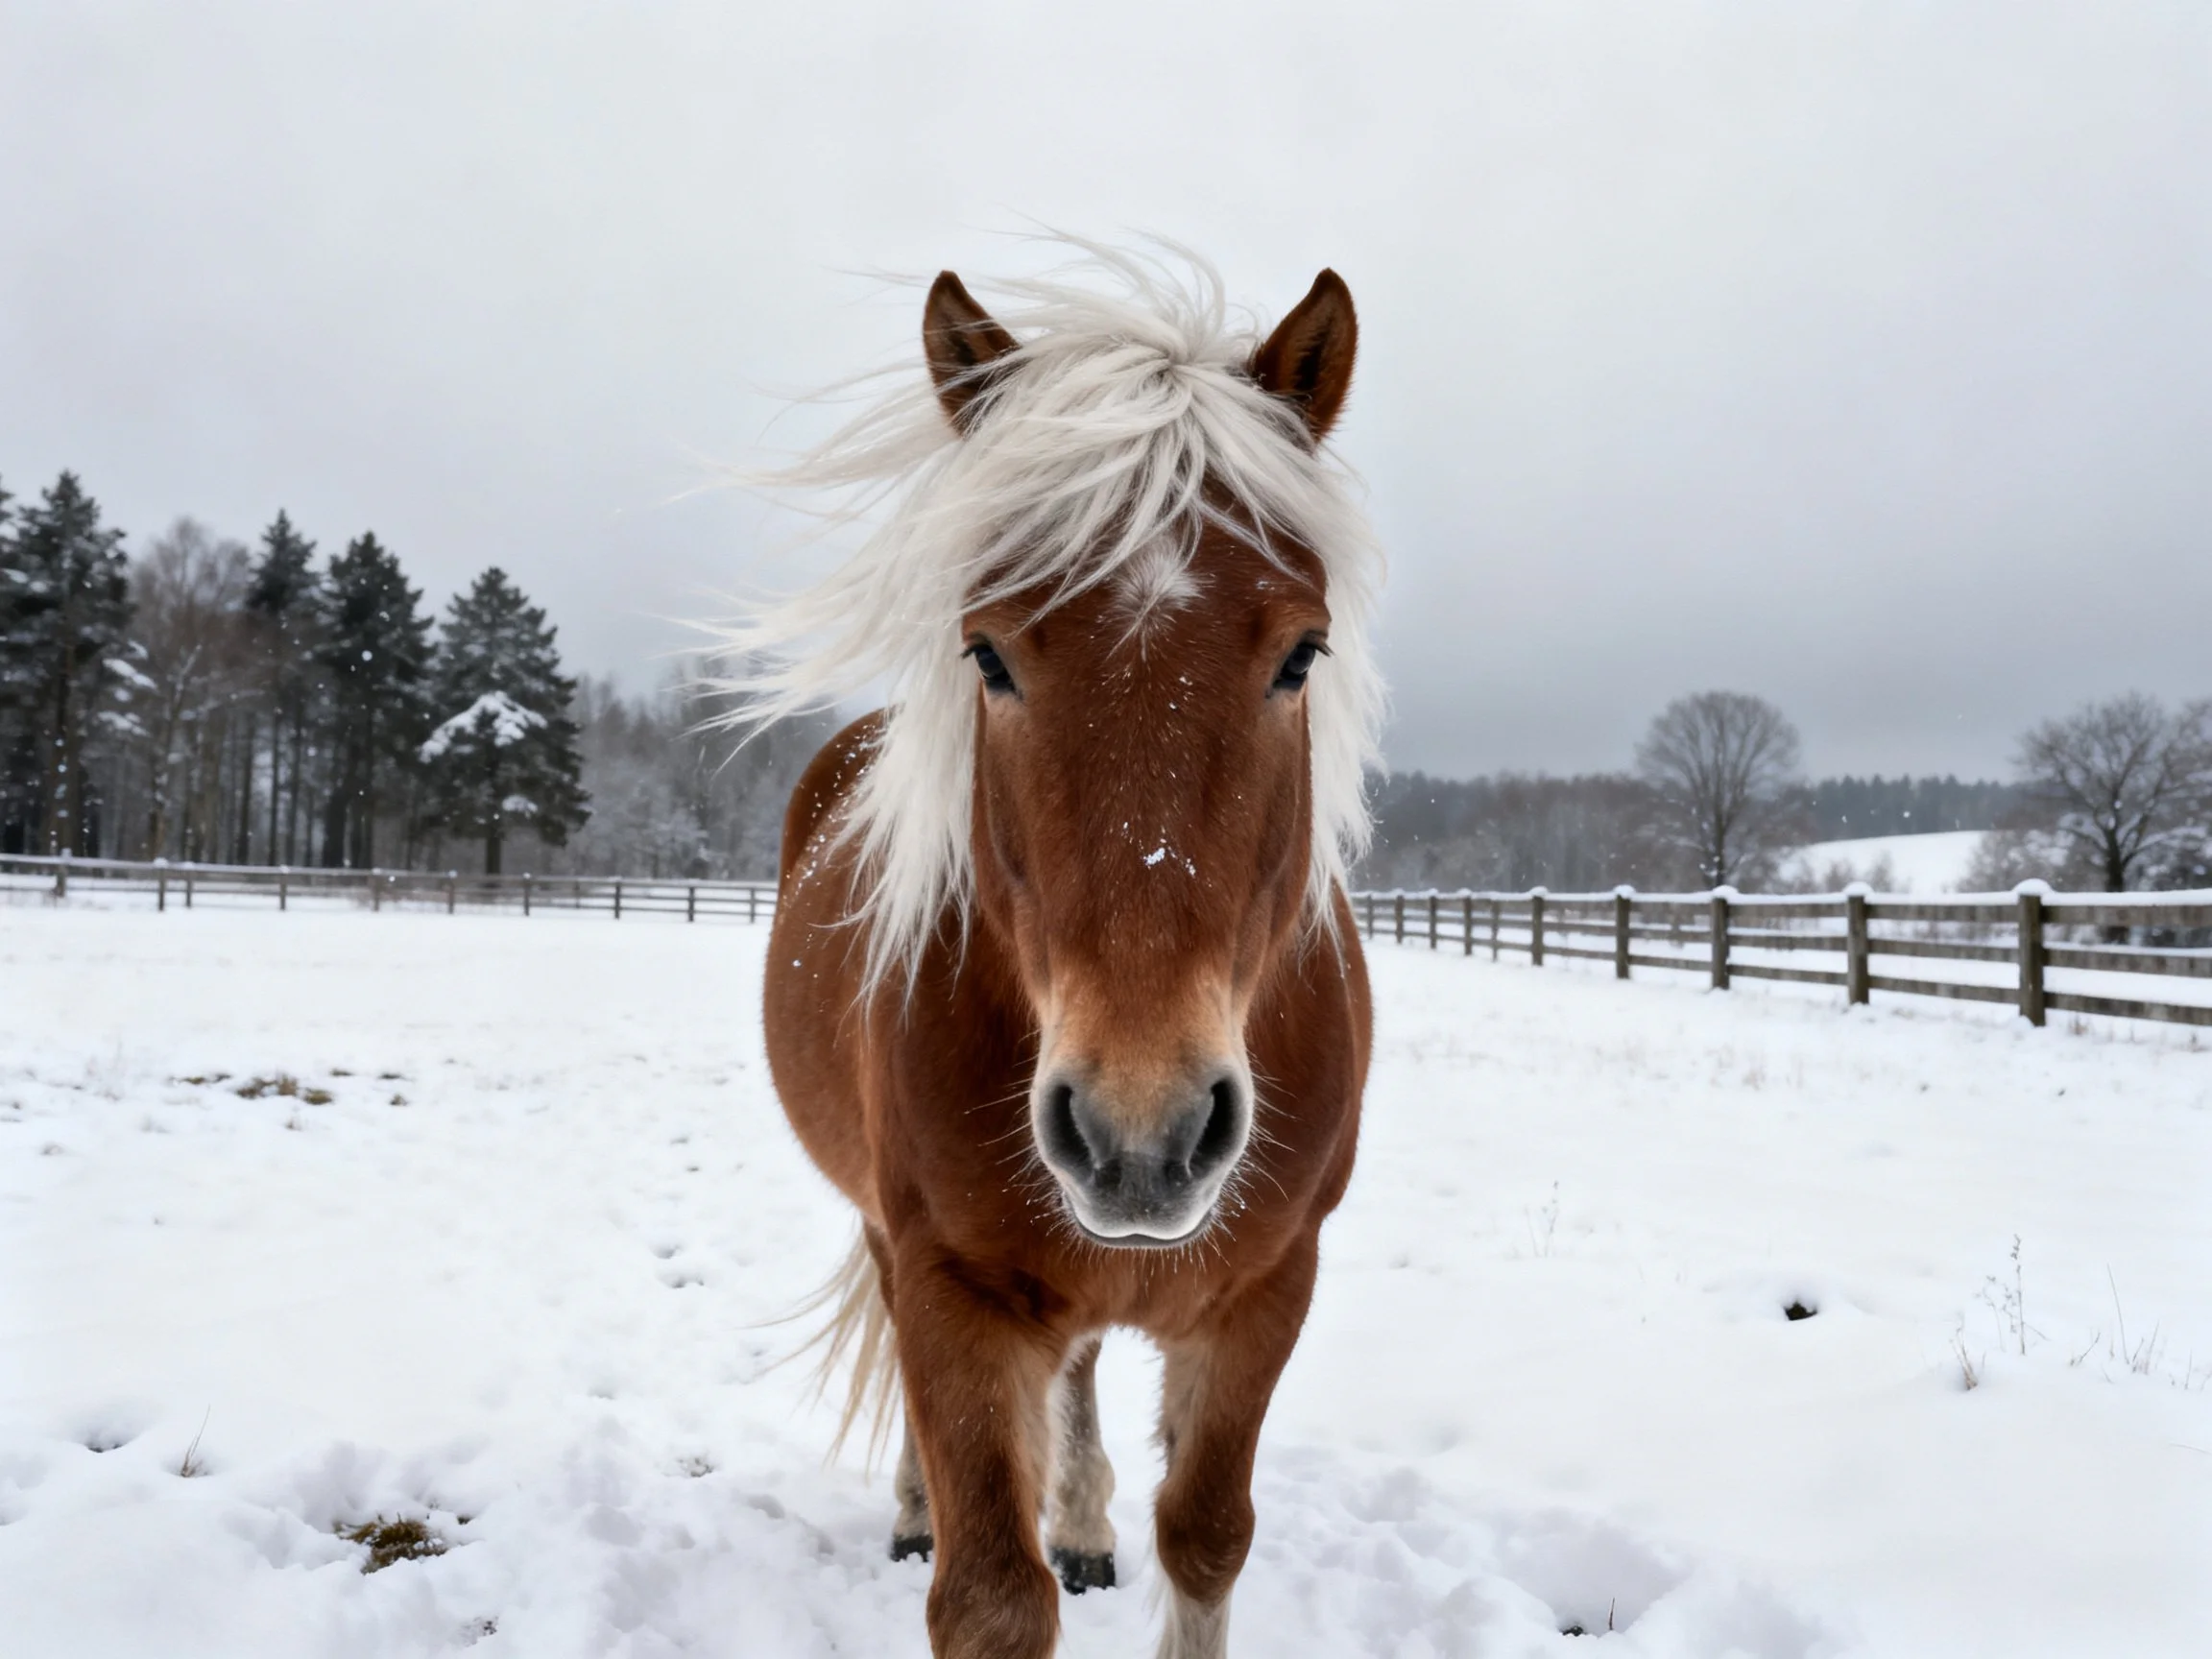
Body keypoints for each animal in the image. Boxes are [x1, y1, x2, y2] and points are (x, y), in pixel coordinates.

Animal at [731, 245, 1384, 1659]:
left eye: (1301, 652)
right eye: (987, 652)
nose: (1144, 1128)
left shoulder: (1271, 1289)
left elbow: (1206, 1537)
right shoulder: (952, 1288)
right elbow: (988, 1592)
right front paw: (962, 1533)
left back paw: (1084, 1523)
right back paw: (918, 1508)